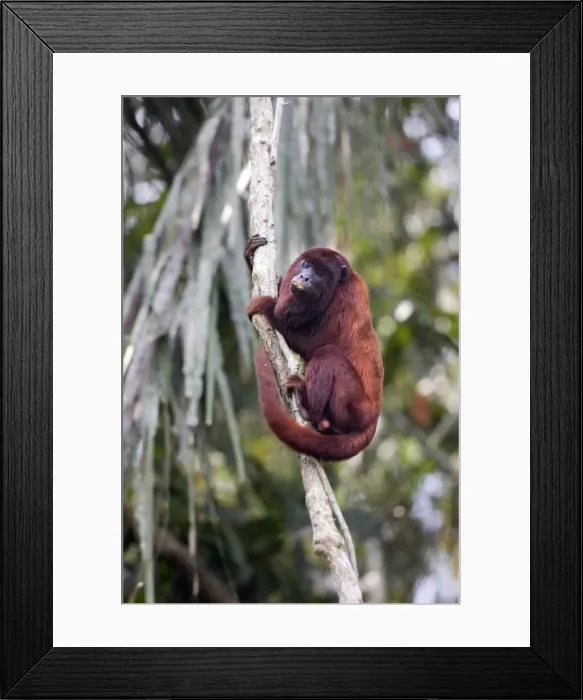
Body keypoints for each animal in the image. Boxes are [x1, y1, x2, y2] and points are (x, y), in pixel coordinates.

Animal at [244, 234, 383, 462]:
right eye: (307, 265)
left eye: (319, 273)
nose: (305, 276)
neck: (339, 284)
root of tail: (373, 420)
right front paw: (249, 255)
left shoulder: (344, 300)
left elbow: (316, 344)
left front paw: (267, 307)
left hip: (355, 406)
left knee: (327, 355)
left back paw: (308, 407)